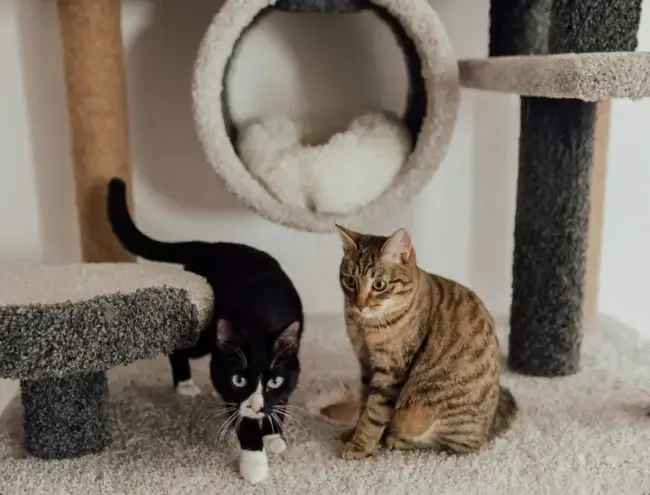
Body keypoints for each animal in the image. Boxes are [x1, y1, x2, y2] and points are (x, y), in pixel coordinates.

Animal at [107, 178, 304, 484]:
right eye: (239, 380)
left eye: (274, 381)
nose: (257, 407)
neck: (262, 316)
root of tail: (213, 246)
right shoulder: (225, 374)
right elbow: (242, 416)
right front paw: (254, 462)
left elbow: (283, 396)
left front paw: (273, 435)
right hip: (204, 332)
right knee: (179, 348)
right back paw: (185, 385)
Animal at [322, 226, 520, 462]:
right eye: (350, 281)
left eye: (379, 285)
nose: (359, 305)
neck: (365, 327)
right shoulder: (366, 364)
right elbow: (363, 405)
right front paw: (353, 433)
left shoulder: (391, 371)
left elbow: (374, 414)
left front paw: (360, 446)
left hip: (423, 413)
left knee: (457, 445)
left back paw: (396, 439)